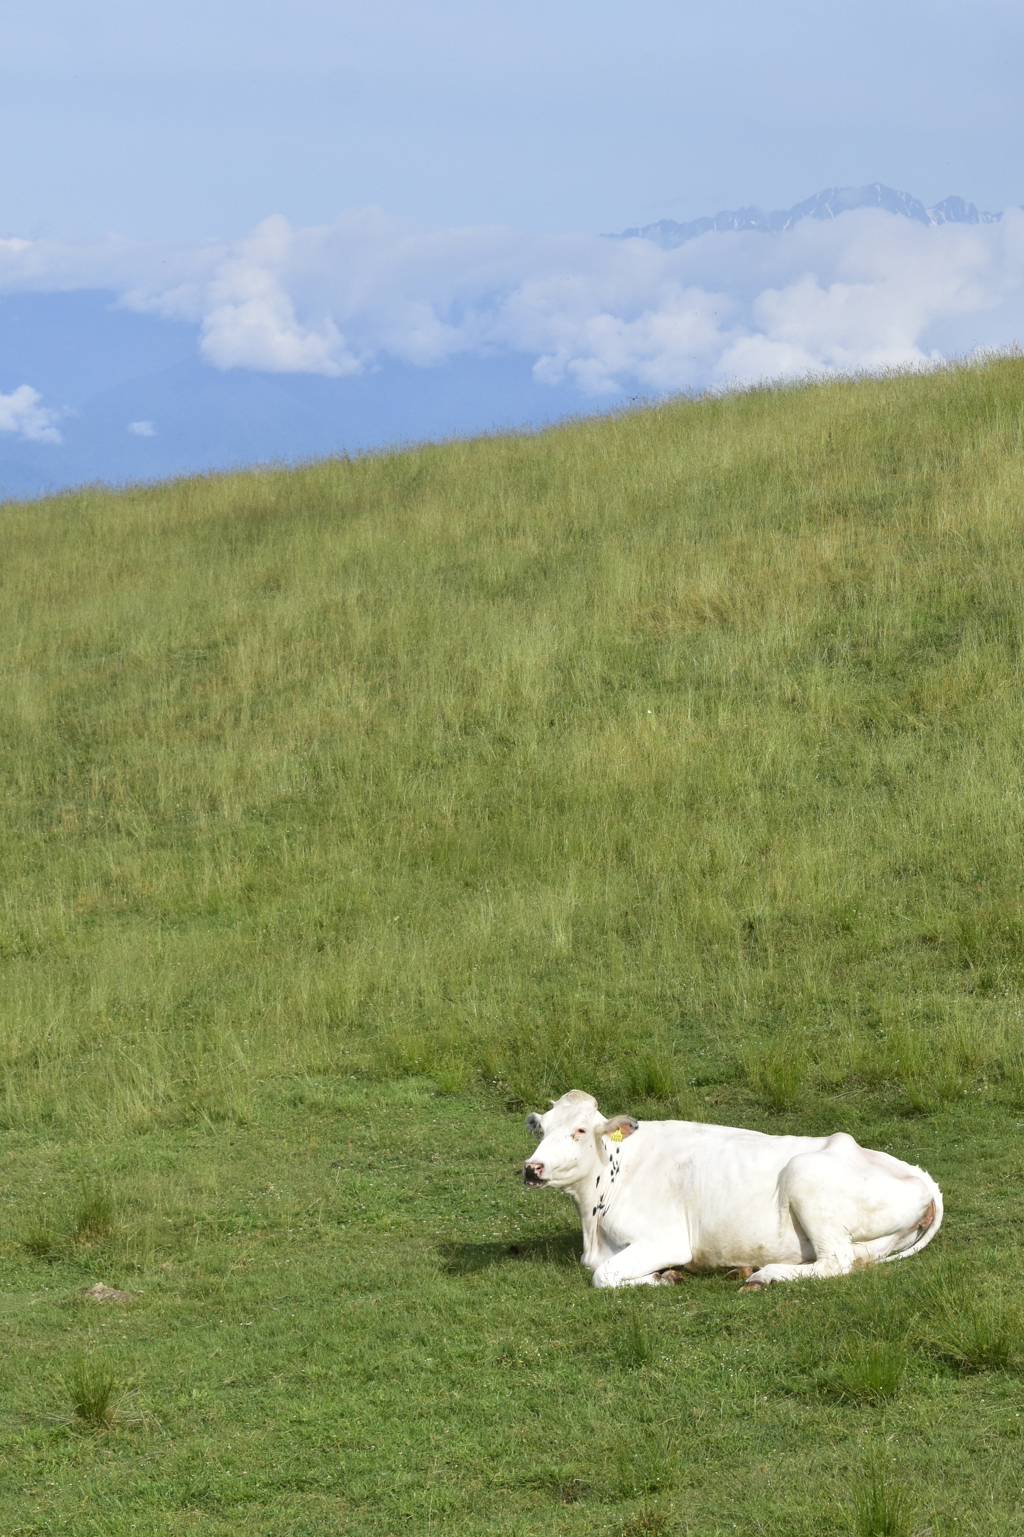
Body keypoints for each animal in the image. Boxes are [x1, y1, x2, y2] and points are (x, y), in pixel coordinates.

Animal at [525, 1088, 940, 1291]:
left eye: (580, 1130)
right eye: (541, 1129)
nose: (532, 1168)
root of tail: (917, 1172)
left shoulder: (665, 1241)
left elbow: (602, 1276)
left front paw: (662, 1278)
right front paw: (664, 1277)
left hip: (804, 1174)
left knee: (835, 1263)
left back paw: (765, 1275)